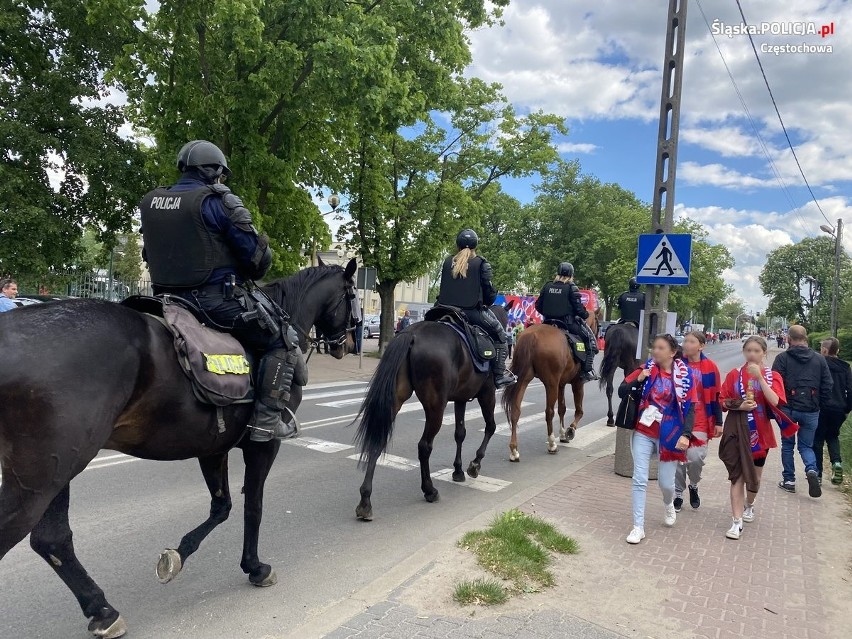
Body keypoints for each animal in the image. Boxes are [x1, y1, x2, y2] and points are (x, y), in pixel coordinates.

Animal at [0, 260, 358, 639]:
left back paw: (102, 610)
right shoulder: (264, 444)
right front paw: (255, 566)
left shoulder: (213, 447)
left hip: (56, 472)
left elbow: (222, 507)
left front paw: (177, 556)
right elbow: (253, 506)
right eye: (351, 295)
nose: (349, 342)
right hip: (41, 478)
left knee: (51, 539)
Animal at [352, 304, 512, 520]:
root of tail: (412, 333)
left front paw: (458, 470)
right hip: (436, 407)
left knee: (378, 441)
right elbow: (491, 427)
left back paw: (365, 501)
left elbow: (460, 434)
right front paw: (474, 465)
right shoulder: (487, 394)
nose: (510, 338)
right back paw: (429, 490)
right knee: (424, 446)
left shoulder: (460, 399)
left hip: (395, 401)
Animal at [500, 312, 600, 462]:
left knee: (515, 411)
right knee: (549, 412)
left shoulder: (561, 384)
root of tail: (532, 335)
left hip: (523, 380)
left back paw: (514, 450)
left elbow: (562, 409)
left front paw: (563, 434)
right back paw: (552, 444)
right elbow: (579, 410)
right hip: (551, 383)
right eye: (598, 324)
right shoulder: (577, 383)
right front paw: (570, 430)